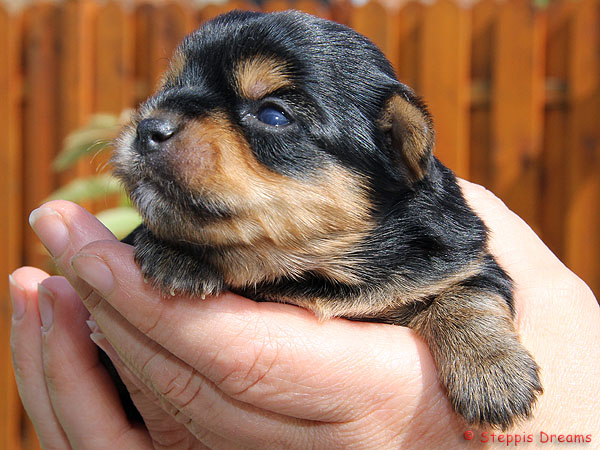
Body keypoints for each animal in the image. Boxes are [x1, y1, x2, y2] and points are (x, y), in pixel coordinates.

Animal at [113, 10, 542, 430]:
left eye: (273, 114)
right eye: (166, 90)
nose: (147, 127)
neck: (319, 267)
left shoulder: (461, 260)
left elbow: (470, 294)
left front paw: (495, 373)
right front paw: (176, 255)